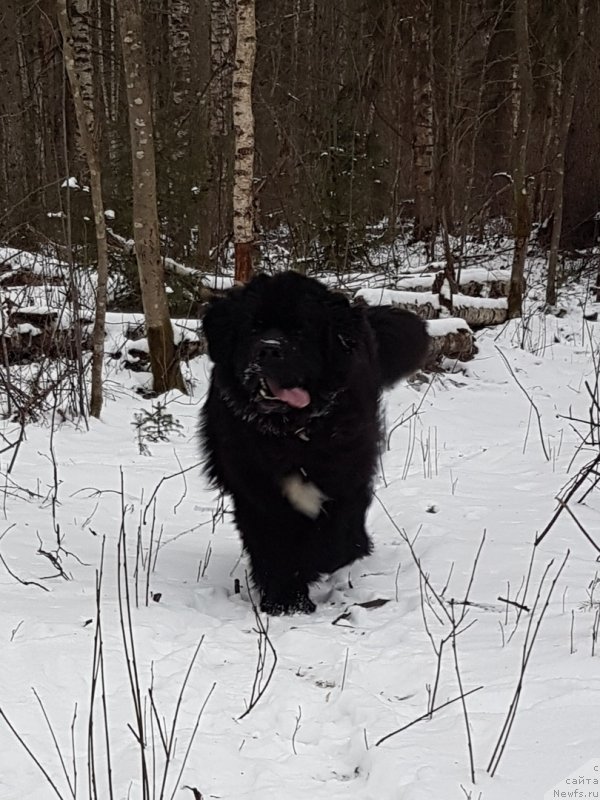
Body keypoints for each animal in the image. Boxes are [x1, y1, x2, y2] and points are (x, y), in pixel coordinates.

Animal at [202, 272, 432, 616]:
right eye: (253, 328)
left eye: (300, 330)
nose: (269, 350)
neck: (293, 434)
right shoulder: (255, 491)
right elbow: (271, 547)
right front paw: (285, 600)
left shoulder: (348, 477)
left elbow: (332, 541)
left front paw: (311, 571)